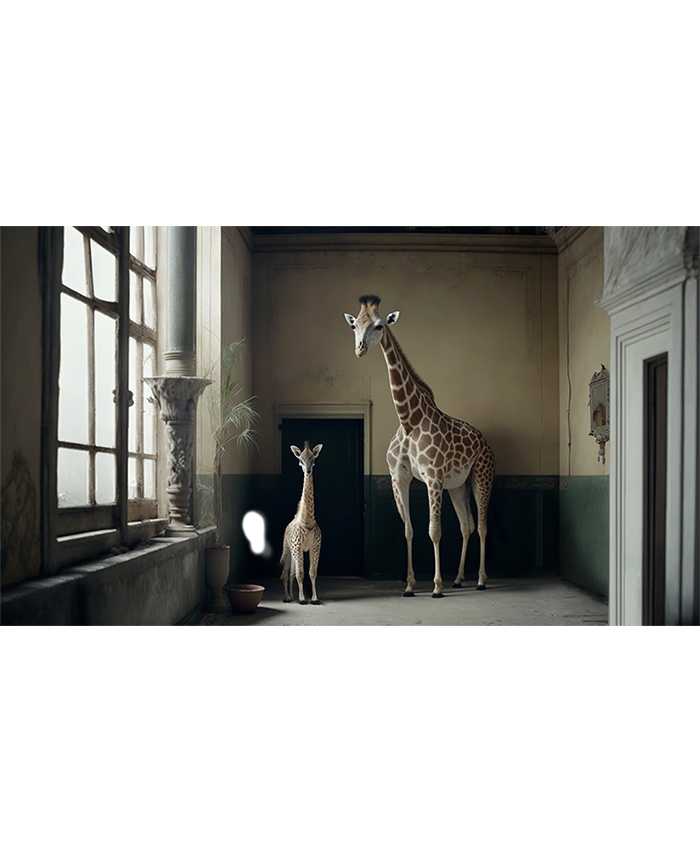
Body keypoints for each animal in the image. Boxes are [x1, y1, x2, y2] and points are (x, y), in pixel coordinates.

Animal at [280, 442, 323, 605]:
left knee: (291, 573)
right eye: (300, 461)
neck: (308, 522)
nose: (308, 471)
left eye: (313, 460)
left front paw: (314, 598)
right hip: (288, 549)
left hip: (295, 552)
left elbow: (312, 572)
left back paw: (291, 596)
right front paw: (303, 599)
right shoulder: (297, 546)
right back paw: (287, 598)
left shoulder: (315, 546)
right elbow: (300, 573)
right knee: (285, 573)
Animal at [344, 294, 495, 598]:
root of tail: (484, 441)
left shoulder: (433, 478)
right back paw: (459, 578)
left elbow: (434, 530)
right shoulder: (399, 478)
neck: (409, 420)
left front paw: (436, 586)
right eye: (355, 325)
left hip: (481, 476)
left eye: (379, 325)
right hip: (458, 485)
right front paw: (410, 585)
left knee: (483, 527)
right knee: (467, 525)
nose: (360, 349)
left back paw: (481, 580)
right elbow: (409, 530)